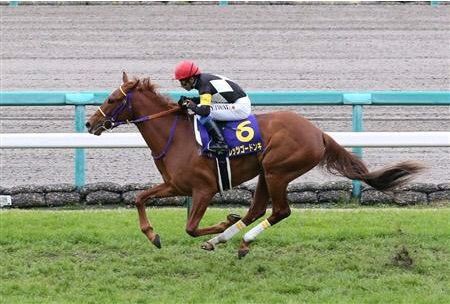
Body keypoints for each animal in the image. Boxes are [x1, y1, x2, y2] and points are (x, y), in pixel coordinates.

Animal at [86, 72, 424, 258]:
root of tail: (318, 132)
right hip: (265, 172)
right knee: (257, 210)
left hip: (278, 170)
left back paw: (240, 238)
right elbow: (139, 198)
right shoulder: (174, 185)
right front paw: (153, 235)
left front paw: (220, 222)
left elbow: (191, 228)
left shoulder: (204, 189)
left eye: (112, 99)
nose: (90, 123)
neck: (175, 135)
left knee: (280, 211)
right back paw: (226, 240)